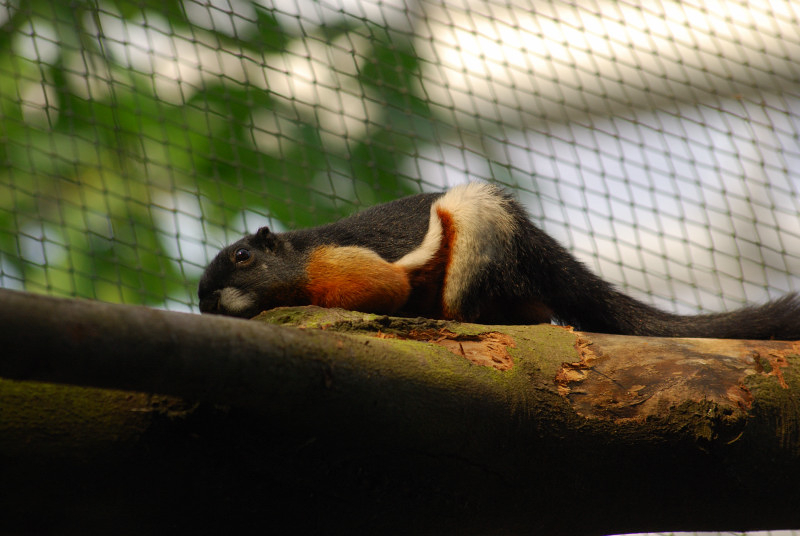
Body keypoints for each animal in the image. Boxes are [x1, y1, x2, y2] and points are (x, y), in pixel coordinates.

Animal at [199, 182, 800, 339]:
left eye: (243, 256)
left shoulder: (346, 265)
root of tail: (539, 248)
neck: (301, 260)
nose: (206, 302)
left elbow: (382, 290)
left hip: (480, 250)